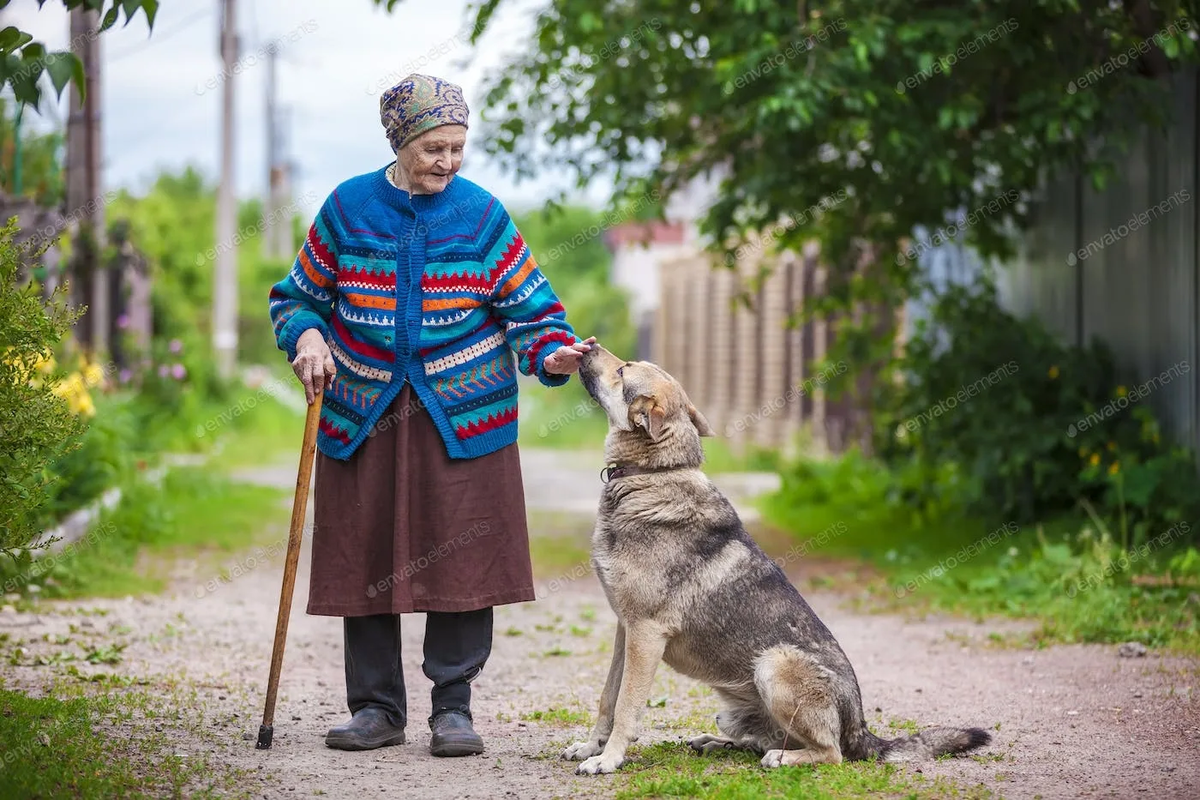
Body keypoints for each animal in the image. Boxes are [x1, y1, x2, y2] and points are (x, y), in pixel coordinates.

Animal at [564, 345, 993, 777]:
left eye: (623, 370)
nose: (589, 345)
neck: (652, 474)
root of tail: (861, 727)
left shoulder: (646, 634)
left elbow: (626, 706)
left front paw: (609, 759)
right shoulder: (626, 629)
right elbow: (607, 698)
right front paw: (590, 748)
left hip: (773, 664)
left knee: (828, 753)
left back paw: (782, 758)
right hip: (733, 708)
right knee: (761, 740)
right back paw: (716, 743)